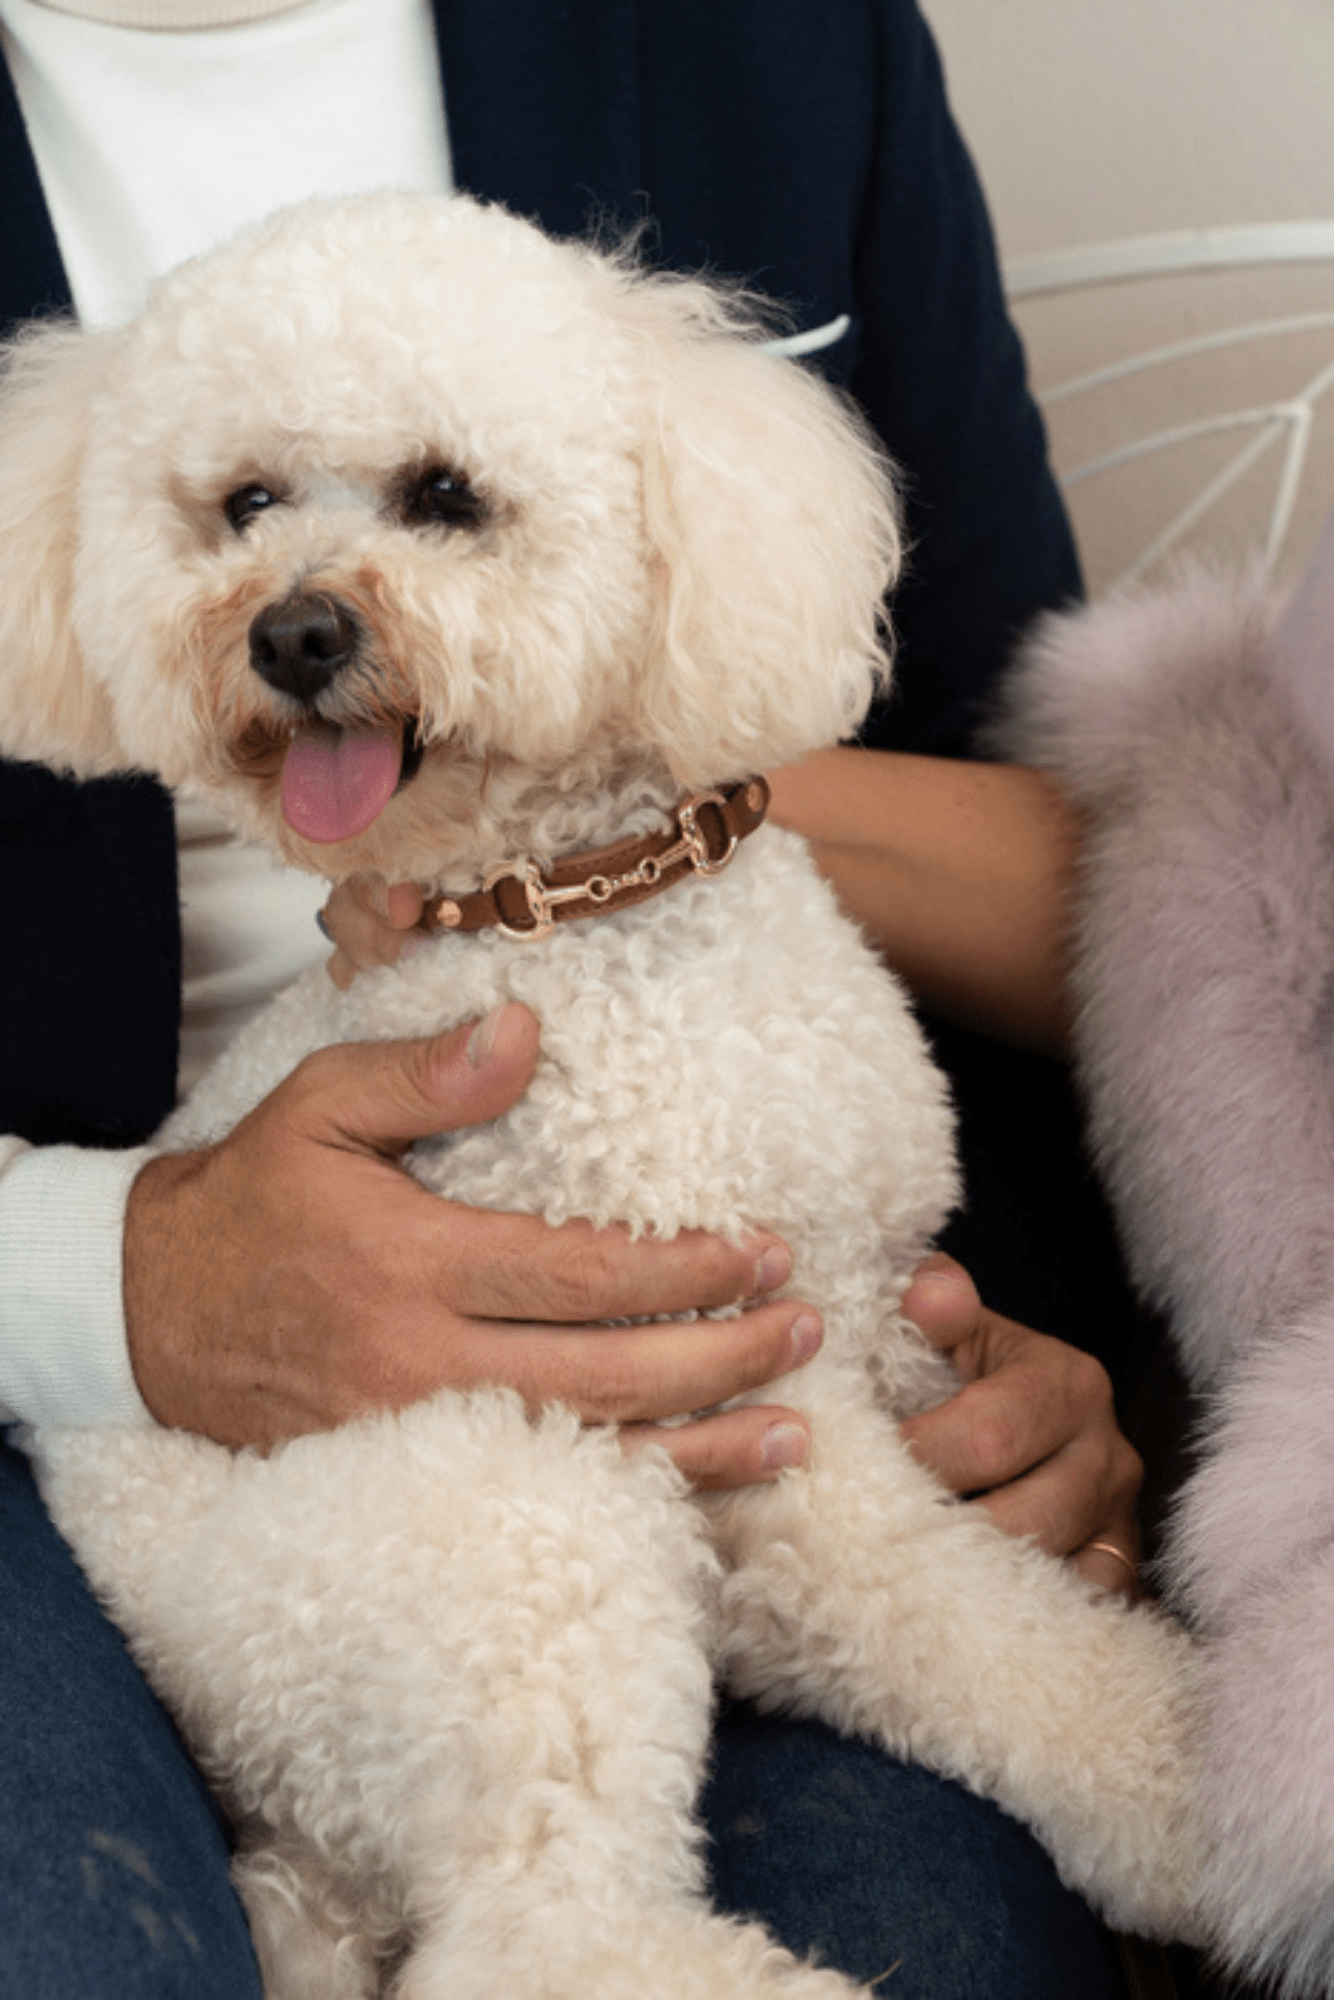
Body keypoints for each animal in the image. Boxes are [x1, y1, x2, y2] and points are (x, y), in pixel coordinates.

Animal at [0, 191, 1208, 2000]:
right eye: (245, 506)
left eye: (445, 493)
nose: (292, 631)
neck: (577, 915)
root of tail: (275, 1806)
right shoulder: (747, 1392)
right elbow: (950, 1601)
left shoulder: (863, 1314)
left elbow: (982, 1630)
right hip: (512, 1510)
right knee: (538, 1924)